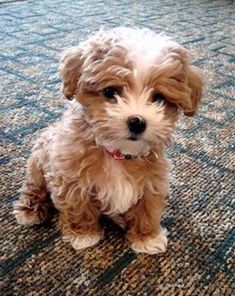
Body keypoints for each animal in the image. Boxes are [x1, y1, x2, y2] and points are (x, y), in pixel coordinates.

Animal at [13, 27, 204, 254]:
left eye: (158, 98)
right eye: (110, 92)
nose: (137, 122)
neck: (117, 153)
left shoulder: (153, 180)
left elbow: (146, 209)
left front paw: (147, 238)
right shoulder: (70, 175)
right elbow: (79, 206)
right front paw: (84, 235)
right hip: (38, 162)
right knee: (34, 188)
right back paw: (31, 210)